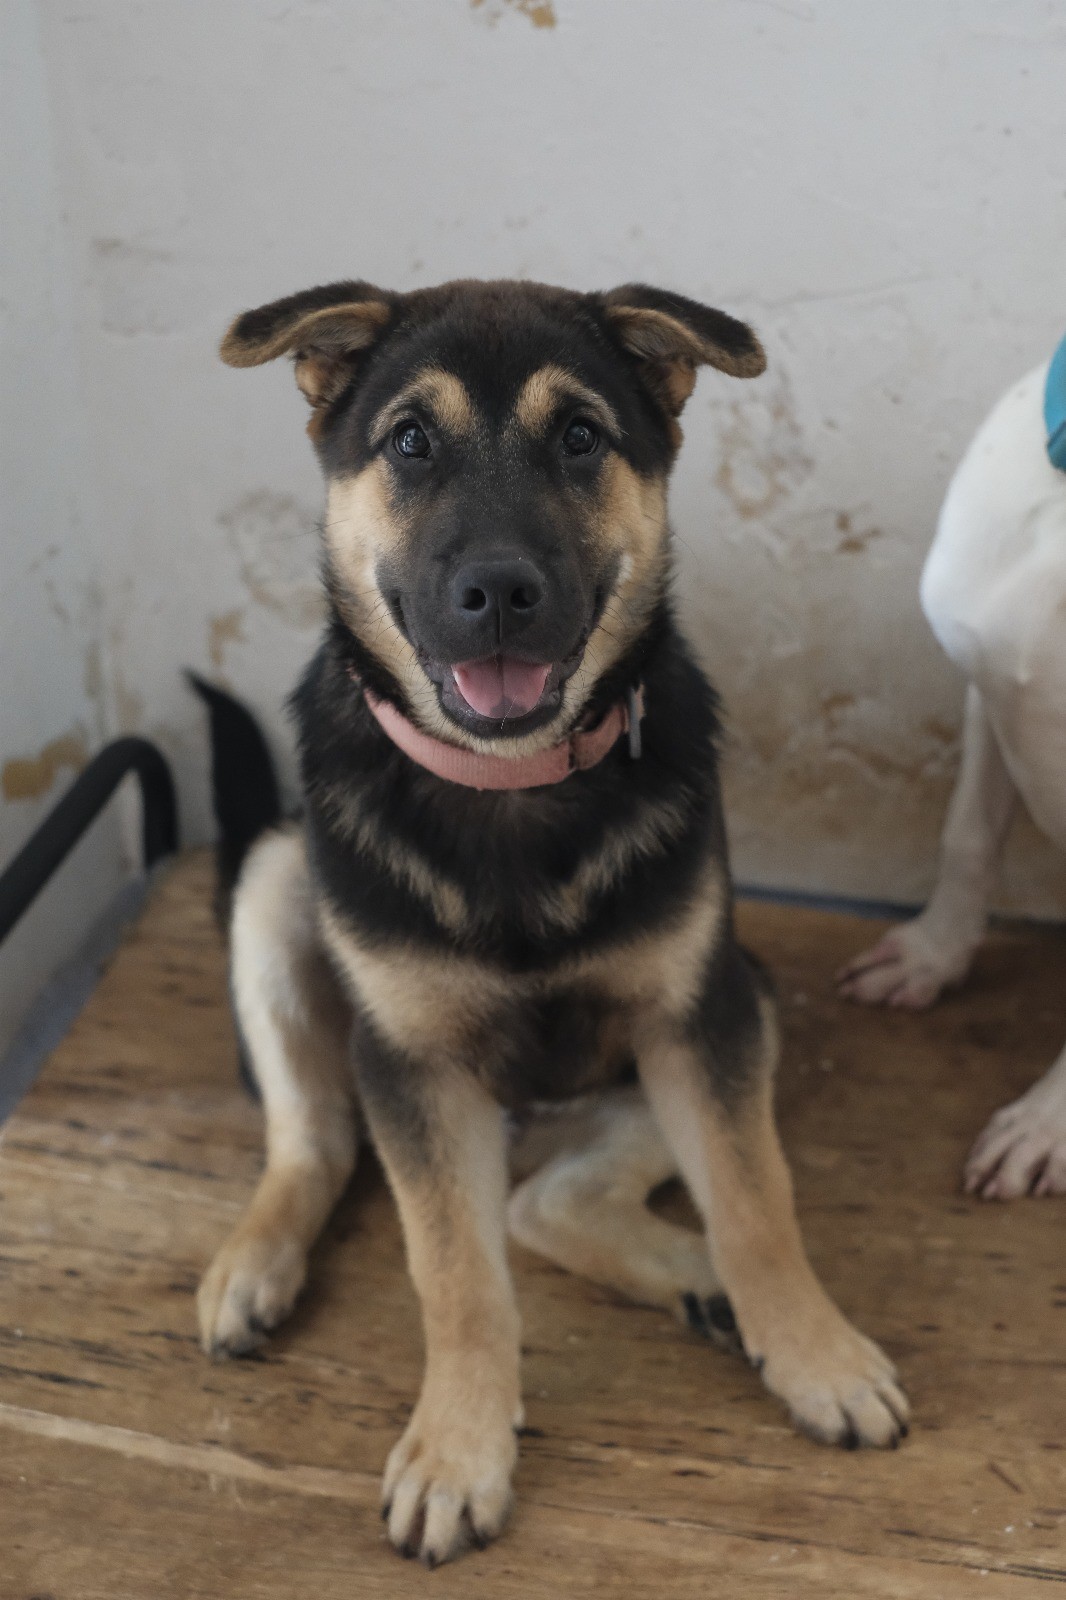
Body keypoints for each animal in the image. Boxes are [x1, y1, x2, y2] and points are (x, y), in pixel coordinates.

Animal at [198, 277, 908, 1567]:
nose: (497, 593)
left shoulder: (699, 1014)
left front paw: (813, 1353)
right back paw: (252, 1266)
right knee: (318, 1141)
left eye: (580, 436)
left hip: (737, 999)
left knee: (545, 1201)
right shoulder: (411, 1066)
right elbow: (454, 1276)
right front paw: (458, 1447)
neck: (510, 785)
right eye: (409, 442)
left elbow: (757, 1202)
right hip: (277, 886)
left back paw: (705, 1287)